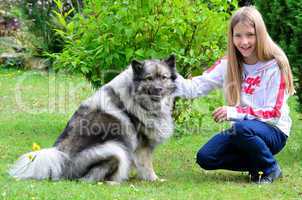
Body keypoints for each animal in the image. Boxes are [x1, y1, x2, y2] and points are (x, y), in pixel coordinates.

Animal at [8, 54, 177, 183]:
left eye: (164, 77)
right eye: (149, 78)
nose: (159, 89)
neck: (136, 97)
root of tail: (61, 163)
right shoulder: (143, 146)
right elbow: (147, 166)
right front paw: (155, 179)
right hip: (115, 149)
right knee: (90, 179)